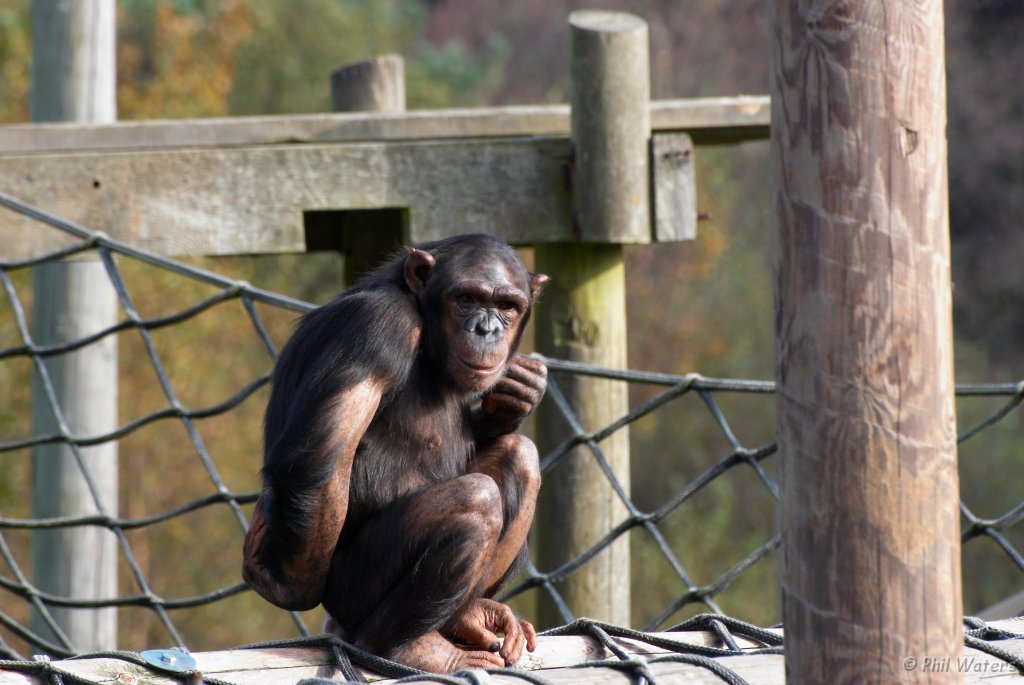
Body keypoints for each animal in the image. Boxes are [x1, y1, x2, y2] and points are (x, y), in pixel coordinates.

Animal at [240, 232, 548, 671]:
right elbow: (316, 462)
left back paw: (469, 617)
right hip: (352, 594)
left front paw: (522, 394)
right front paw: (282, 587)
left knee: (519, 456)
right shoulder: (377, 327)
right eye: (467, 298)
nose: (486, 328)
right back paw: (409, 648)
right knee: (475, 500)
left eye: (507, 306)